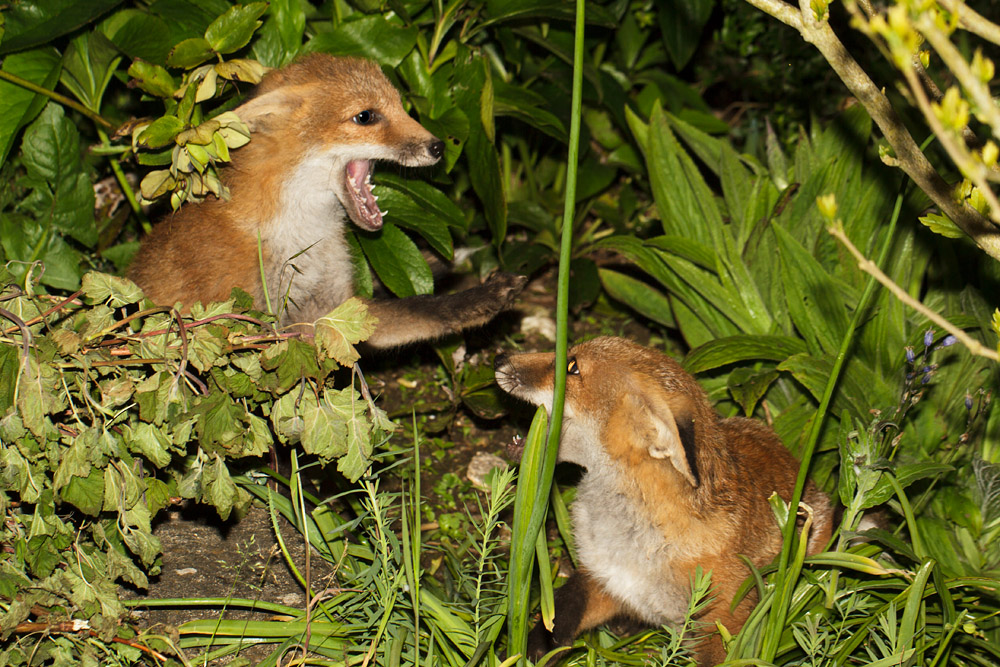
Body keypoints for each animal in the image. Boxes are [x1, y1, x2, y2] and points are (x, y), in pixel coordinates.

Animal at [128, 54, 526, 347]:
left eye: (401, 107)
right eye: (365, 116)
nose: (439, 147)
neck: (304, 238)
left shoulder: (334, 311)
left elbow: (425, 311)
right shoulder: (246, 322)